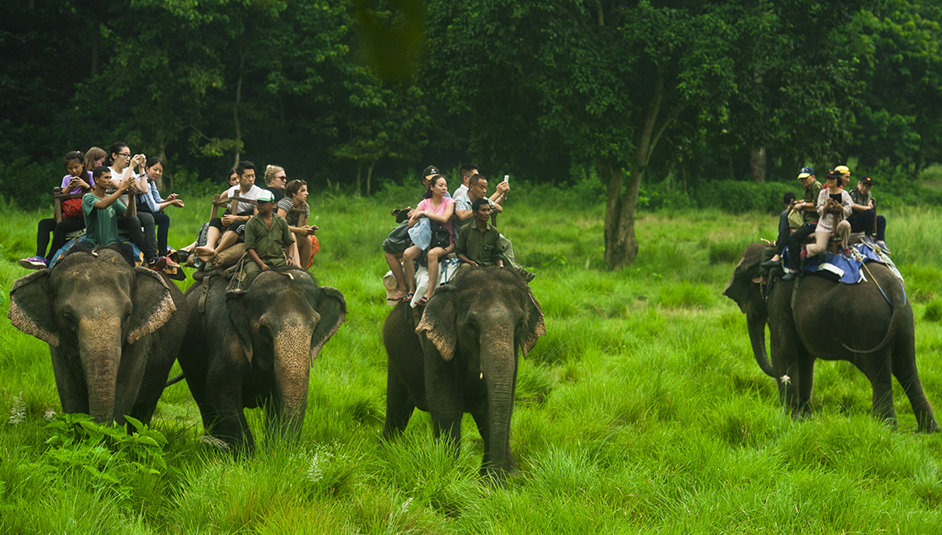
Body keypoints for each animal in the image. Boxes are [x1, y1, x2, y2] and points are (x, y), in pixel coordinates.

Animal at [7, 244, 188, 428]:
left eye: (128, 315)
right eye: (68, 318)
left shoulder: (139, 338)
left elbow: (125, 388)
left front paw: (106, 433)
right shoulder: (58, 344)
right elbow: (69, 390)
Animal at [177, 266, 346, 450]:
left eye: (315, 326)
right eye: (265, 330)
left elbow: (278, 398)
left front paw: (274, 450)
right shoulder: (227, 338)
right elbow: (219, 388)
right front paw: (248, 454)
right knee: (203, 399)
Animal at [382, 268, 544, 482]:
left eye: (519, 324)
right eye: (471, 325)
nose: (493, 482)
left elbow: (497, 407)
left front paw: (500, 480)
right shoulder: (435, 345)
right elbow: (446, 406)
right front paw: (448, 474)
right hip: (394, 357)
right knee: (397, 409)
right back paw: (383, 455)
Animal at [728, 242, 940, 432]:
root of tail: (893, 287)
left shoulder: (779, 299)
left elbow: (784, 352)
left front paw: (789, 421)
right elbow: (805, 359)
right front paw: (804, 421)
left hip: (869, 323)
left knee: (880, 374)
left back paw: (885, 429)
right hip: (905, 320)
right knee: (907, 369)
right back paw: (928, 429)